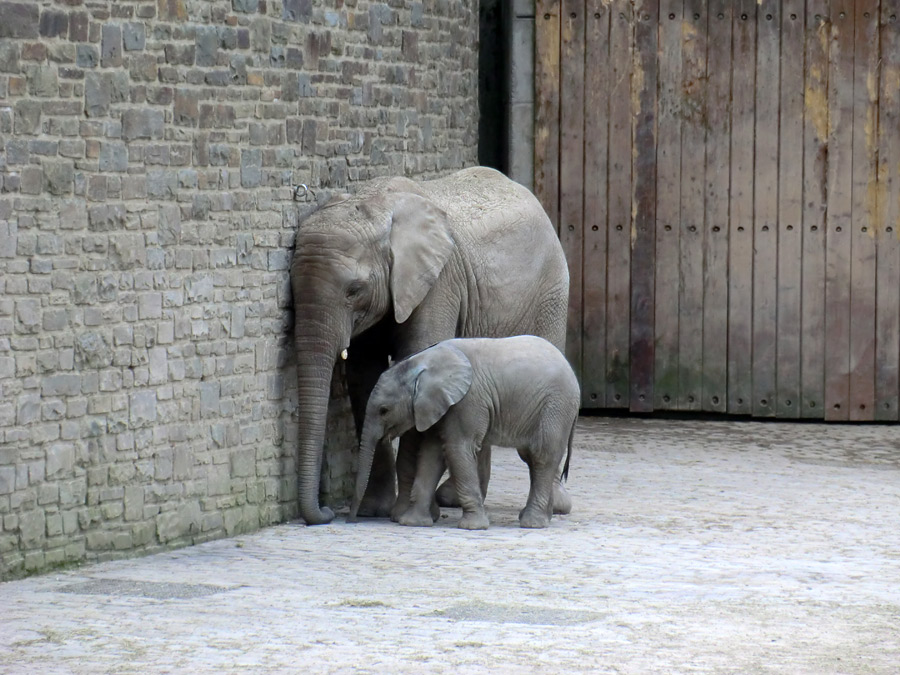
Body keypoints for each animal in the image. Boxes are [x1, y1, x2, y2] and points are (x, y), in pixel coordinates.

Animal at [348, 336, 580, 532]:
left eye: (384, 410)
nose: (353, 520)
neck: (424, 362)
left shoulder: (467, 401)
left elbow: (457, 449)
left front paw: (473, 527)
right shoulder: (441, 405)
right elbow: (432, 453)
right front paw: (412, 523)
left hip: (555, 408)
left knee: (542, 457)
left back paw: (532, 523)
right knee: (532, 459)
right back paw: (540, 518)